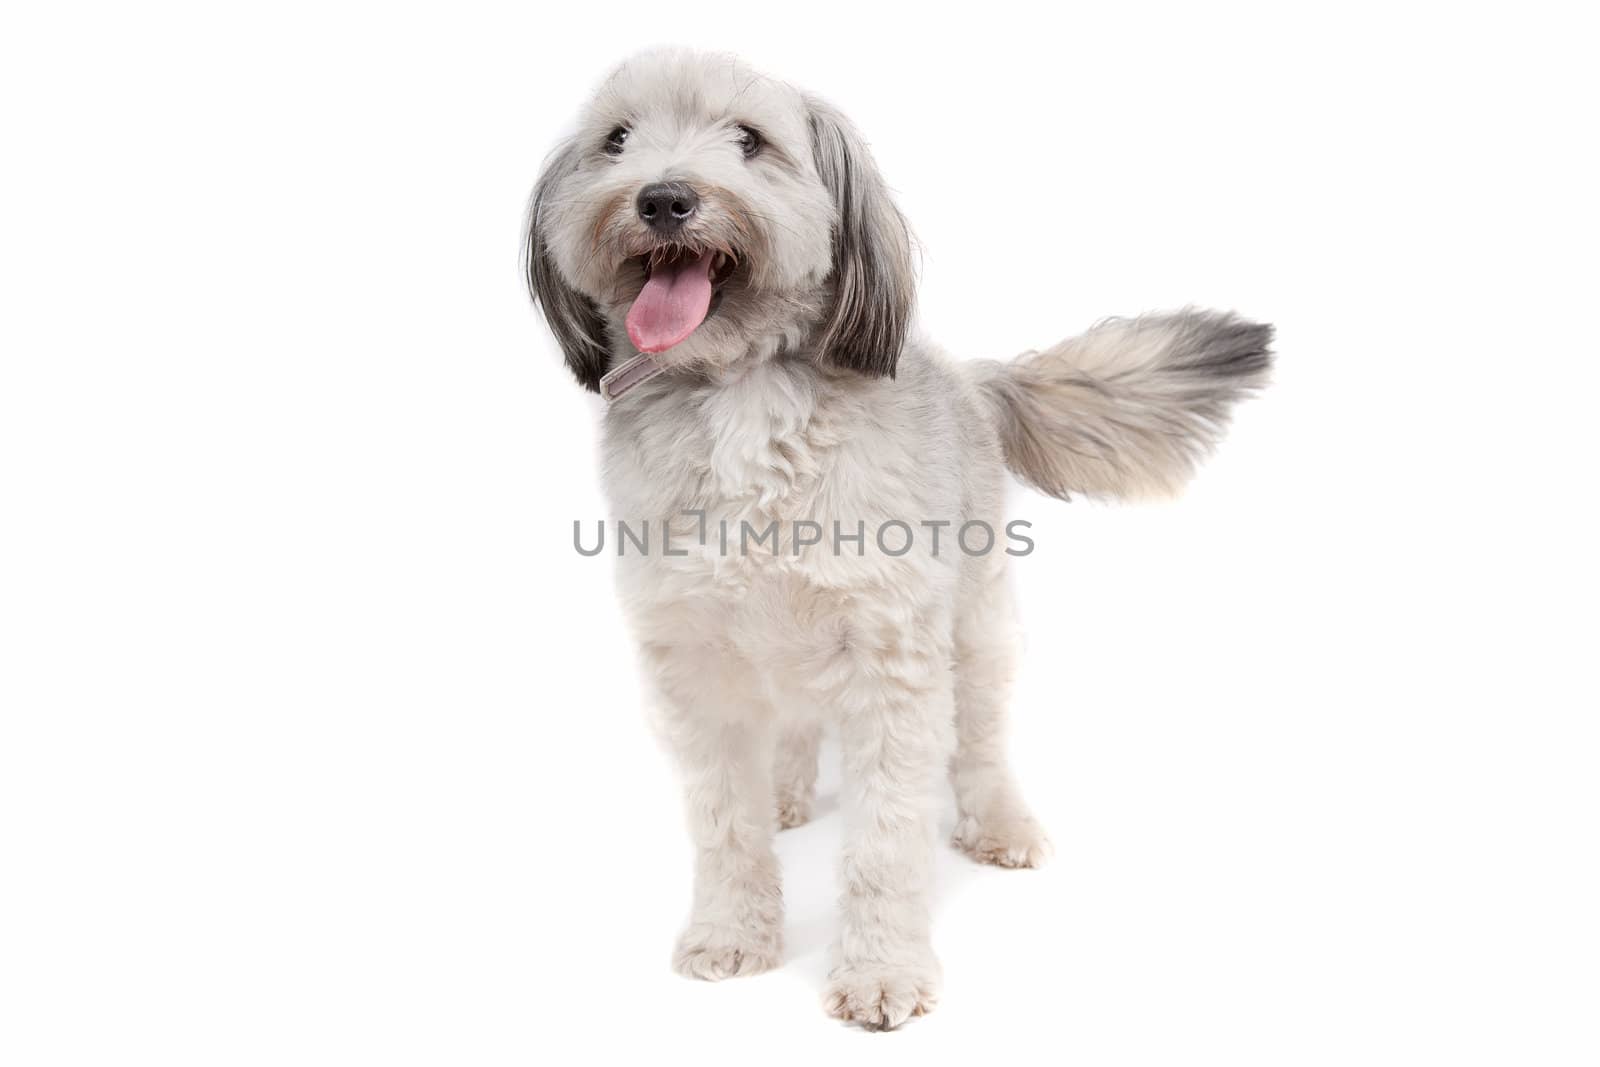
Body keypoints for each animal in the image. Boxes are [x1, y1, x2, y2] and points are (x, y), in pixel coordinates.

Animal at [524, 47, 1273, 1023]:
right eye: (616, 141)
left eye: (750, 141)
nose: (662, 198)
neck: (743, 389)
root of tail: (973, 376)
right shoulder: (693, 660)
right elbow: (724, 820)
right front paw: (732, 931)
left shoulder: (892, 658)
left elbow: (884, 838)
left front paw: (881, 970)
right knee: (795, 727)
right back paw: (787, 788)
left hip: (978, 626)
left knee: (983, 739)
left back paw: (1000, 820)